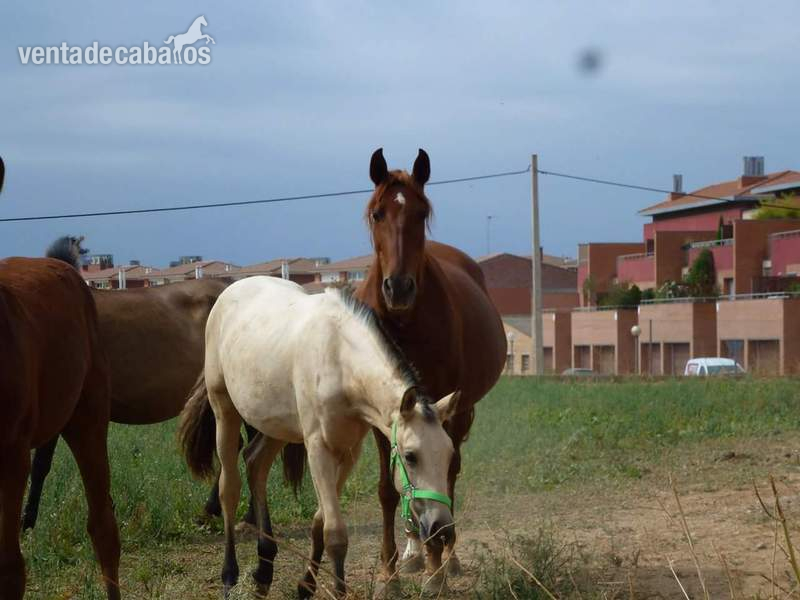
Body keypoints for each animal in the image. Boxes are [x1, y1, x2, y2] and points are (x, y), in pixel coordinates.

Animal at [179, 277, 458, 599]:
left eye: (449, 456)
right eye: (411, 456)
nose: (442, 528)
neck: (339, 357)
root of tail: (230, 291)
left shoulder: (349, 451)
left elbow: (319, 521)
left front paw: (305, 586)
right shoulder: (318, 449)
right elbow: (334, 532)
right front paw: (336, 590)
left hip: (278, 425)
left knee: (255, 463)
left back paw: (263, 573)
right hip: (224, 410)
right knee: (230, 488)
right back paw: (229, 576)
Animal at [356, 148, 507, 584]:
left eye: (421, 213)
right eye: (378, 213)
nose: (399, 287)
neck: (405, 323)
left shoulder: (442, 409)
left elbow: (443, 472)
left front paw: (436, 566)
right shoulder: (383, 417)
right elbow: (389, 489)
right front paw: (389, 573)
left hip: (462, 411)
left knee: (452, 475)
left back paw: (444, 555)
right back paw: (413, 551)